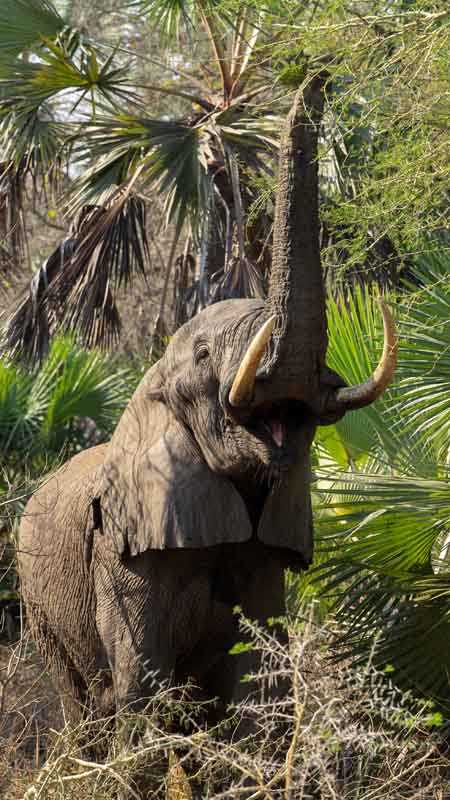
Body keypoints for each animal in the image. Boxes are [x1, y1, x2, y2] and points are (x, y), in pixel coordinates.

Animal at [17, 76, 397, 786]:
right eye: (199, 357)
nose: (315, 78)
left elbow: (258, 688)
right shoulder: (126, 550)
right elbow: (142, 688)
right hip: (38, 596)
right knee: (86, 703)